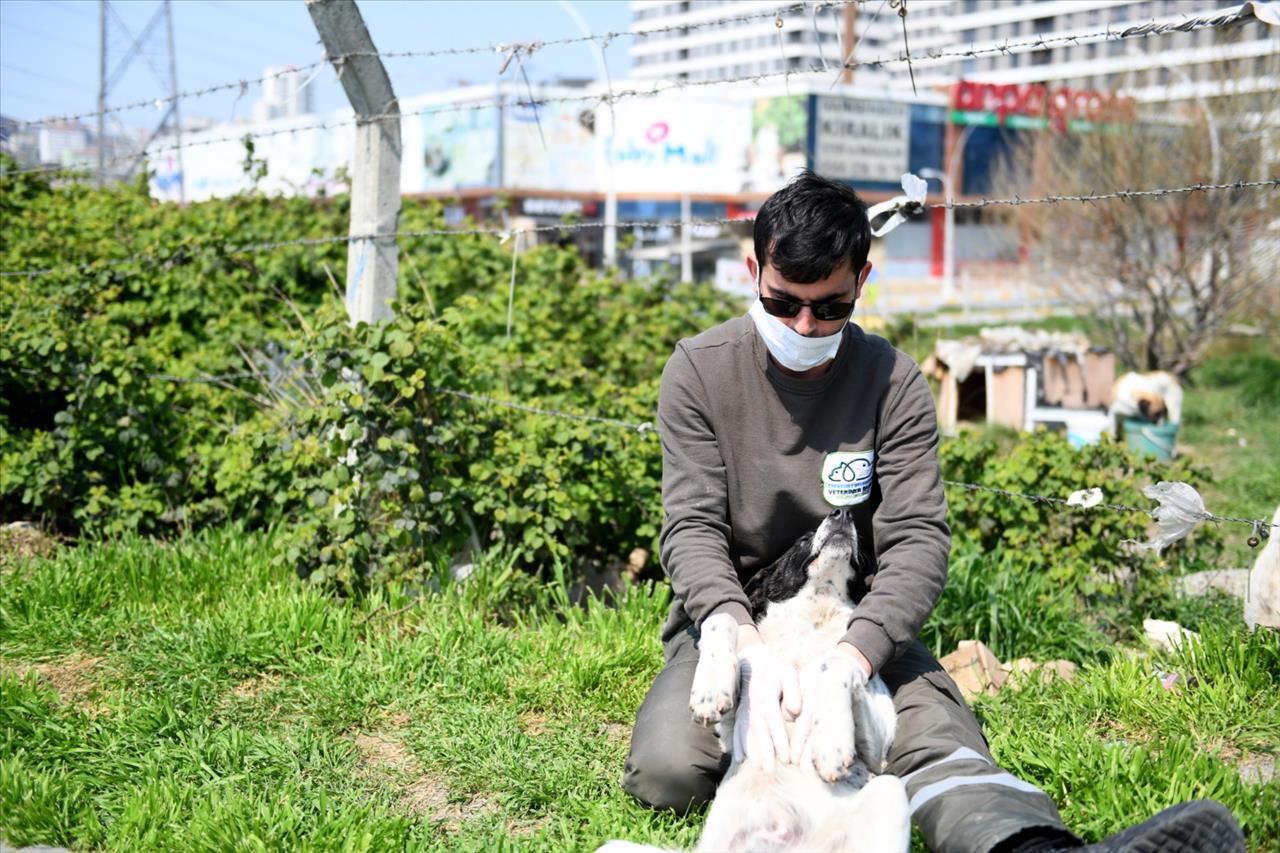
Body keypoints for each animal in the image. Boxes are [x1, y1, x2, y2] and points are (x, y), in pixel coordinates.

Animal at [599, 504, 911, 850]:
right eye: (803, 539)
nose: (843, 513)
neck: (812, 620)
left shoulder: (876, 752)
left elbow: (837, 663)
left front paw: (832, 746)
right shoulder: (731, 730)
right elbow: (722, 617)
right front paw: (709, 694)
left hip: (890, 790)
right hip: (613, 845)